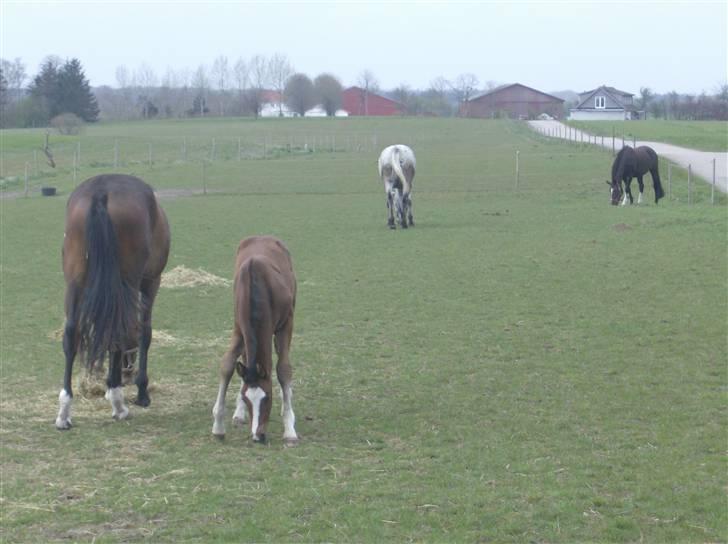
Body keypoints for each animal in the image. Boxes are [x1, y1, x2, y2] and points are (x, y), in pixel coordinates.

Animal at [55, 174, 171, 430]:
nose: (128, 372)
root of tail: (101, 191)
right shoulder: (150, 282)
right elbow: (143, 332)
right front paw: (139, 391)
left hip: (74, 282)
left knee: (71, 335)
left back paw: (64, 411)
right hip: (128, 281)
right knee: (118, 331)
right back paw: (119, 405)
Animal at [212, 236, 298, 444]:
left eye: (267, 398)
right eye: (246, 398)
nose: (257, 435)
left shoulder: (286, 326)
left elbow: (283, 369)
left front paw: (289, 429)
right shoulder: (239, 328)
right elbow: (227, 364)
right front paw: (218, 426)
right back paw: (238, 413)